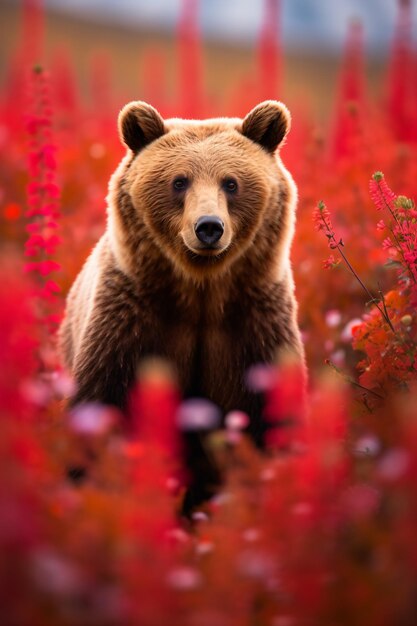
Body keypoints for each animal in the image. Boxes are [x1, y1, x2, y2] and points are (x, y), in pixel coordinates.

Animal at [58, 97, 304, 504]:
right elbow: (100, 402)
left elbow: (271, 416)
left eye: (231, 183)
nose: (209, 227)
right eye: (179, 181)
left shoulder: (254, 324)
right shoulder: (130, 321)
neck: (200, 288)